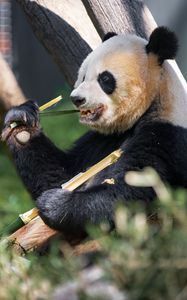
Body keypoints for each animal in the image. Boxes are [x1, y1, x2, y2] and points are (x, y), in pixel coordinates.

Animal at [2, 26, 187, 237]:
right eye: (83, 76)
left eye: (105, 78)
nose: (77, 99)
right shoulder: (102, 139)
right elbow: (64, 174)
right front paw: (21, 121)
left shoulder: (166, 136)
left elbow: (131, 191)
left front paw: (55, 204)